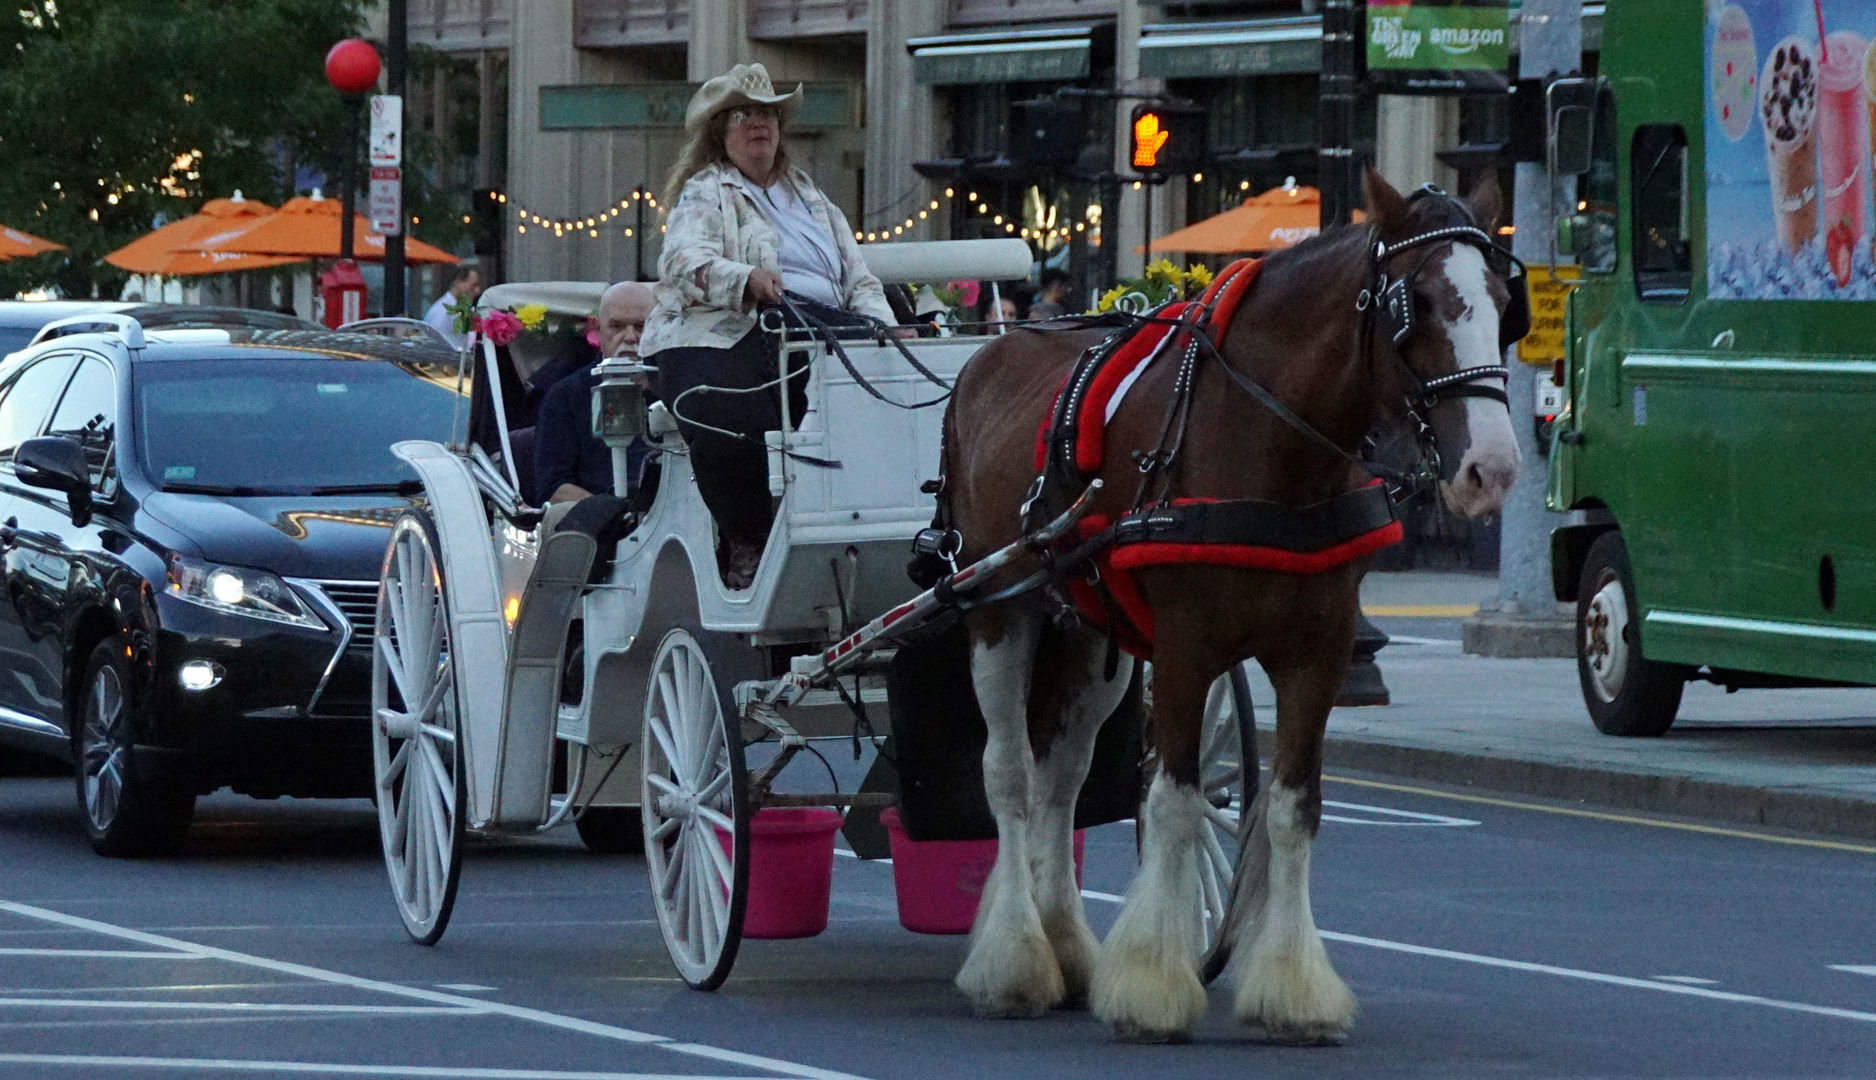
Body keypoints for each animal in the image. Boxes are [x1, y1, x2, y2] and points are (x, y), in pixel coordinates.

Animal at [945, 172, 1515, 1042]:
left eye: (1504, 299)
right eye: (1414, 301)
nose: (1494, 467)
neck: (1276, 450)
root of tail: (996, 348)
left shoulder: (1320, 651)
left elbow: (1290, 809)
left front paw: (1293, 990)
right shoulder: (1186, 647)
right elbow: (1174, 802)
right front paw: (1152, 984)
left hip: (1090, 634)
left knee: (1059, 778)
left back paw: (1065, 943)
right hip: (996, 610)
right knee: (1008, 774)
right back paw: (1014, 958)